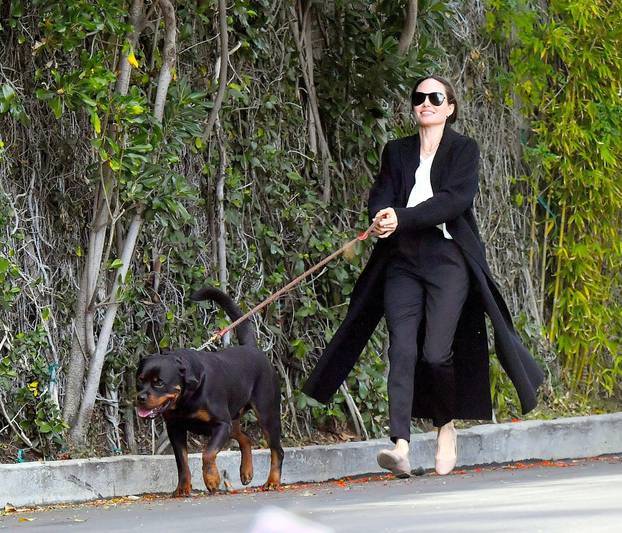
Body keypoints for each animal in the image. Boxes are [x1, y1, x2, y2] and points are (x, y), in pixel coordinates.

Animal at [137, 286, 286, 494]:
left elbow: (207, 453)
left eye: (159, 383)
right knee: (245, 438)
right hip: (233, 420)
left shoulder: (221, 424)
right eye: (140, 380)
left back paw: (272, 481)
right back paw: (246, 471)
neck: (186, 397)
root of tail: (251, 348)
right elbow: (182, 462)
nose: (140, 397)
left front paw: (212, 479)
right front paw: (183, 488)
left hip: (266, 414)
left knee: (276, 450)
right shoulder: (175, 429)